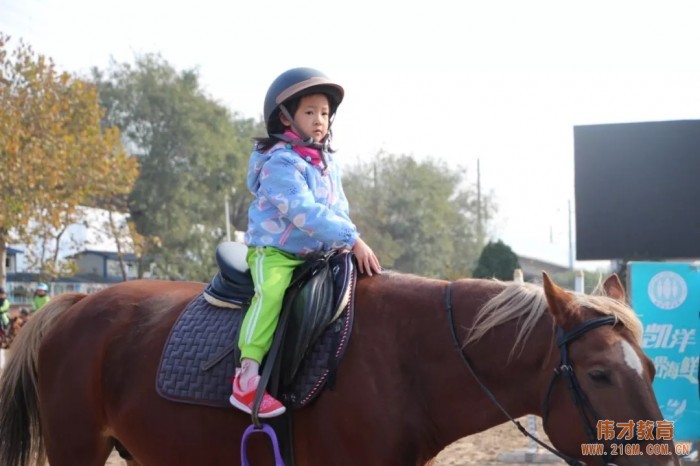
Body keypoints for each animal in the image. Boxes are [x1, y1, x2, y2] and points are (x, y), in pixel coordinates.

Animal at [0, 272, 680, 464]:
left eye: (651, 369)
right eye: (599, 375)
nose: (664, 461)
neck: (407, 363)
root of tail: (73, 304)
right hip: (77, 450)